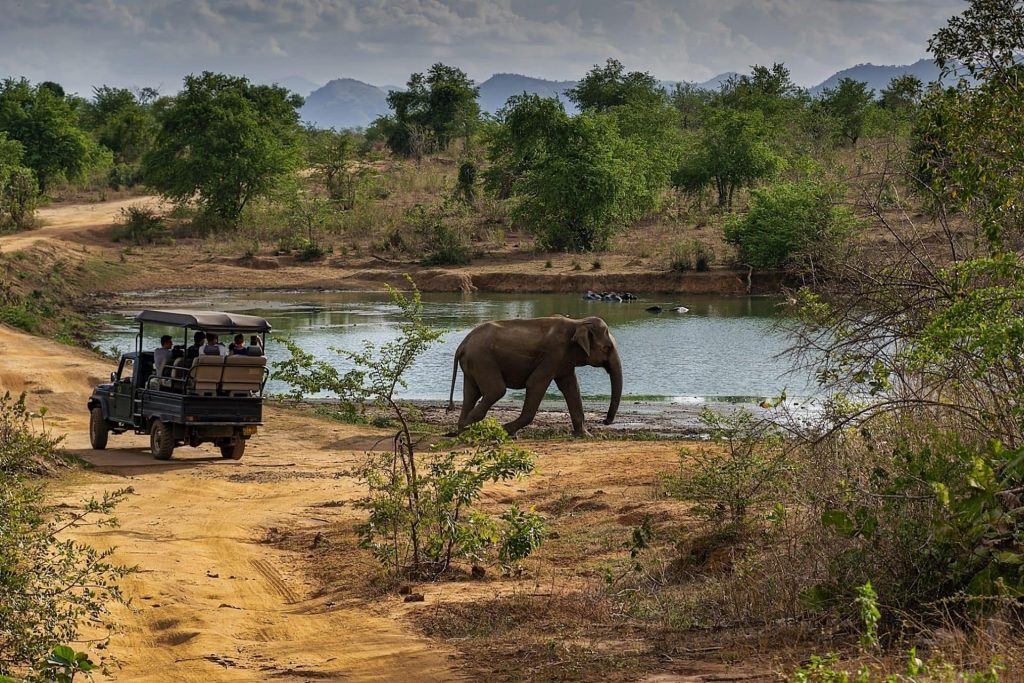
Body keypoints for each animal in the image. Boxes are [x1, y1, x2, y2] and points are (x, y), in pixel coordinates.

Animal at [444, 317, 618, 438]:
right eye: (607, 348)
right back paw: (468, 429)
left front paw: (585, 435)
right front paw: (506, 430)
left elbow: (571, 388)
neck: (578, 322)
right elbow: (535, 383)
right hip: (483, 360)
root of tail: (462, 345)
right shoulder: (553, 355)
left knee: (471, 394)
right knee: (496, 391)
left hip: (473, 363)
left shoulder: (563, 360)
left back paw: (461, 430)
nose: (605, 421)